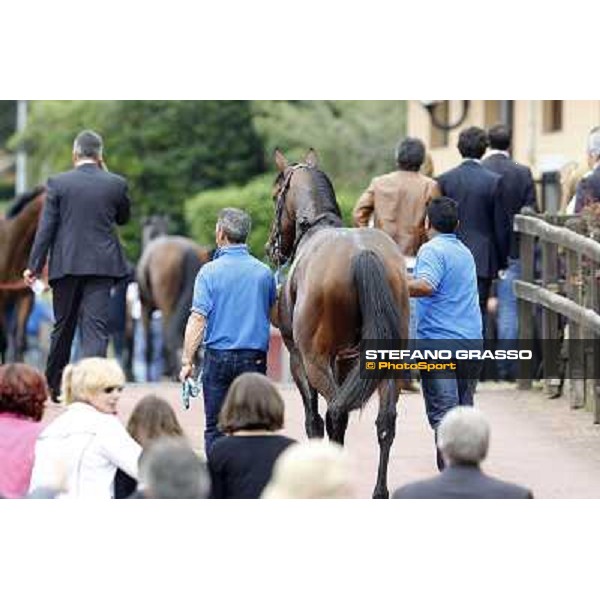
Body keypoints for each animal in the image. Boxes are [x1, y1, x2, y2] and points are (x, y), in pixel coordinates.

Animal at [270, 149, 410, 496]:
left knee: (334, 411)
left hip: (315, 361)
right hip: (388, 362)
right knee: (385, 422)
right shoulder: (347, 360)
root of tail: (362, 253)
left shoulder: (298, 359)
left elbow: (313, 419)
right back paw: (379, 491)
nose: (271, 247)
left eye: (275, 194)